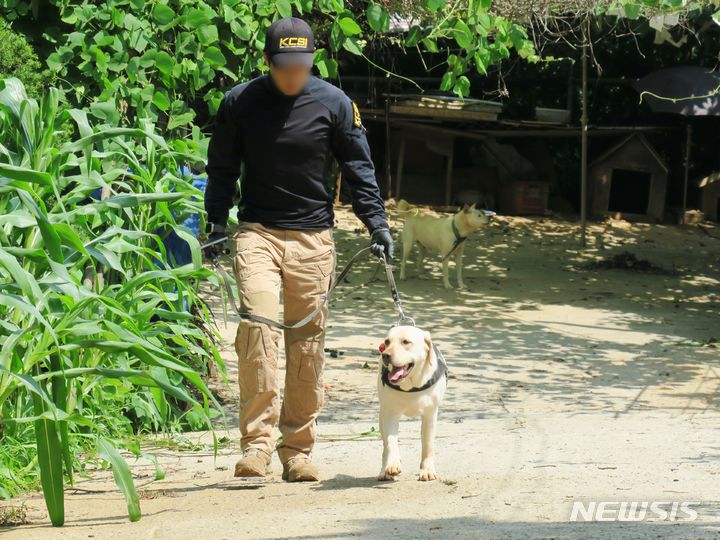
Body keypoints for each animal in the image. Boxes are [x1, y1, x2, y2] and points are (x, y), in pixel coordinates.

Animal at [376, 324, 444, 480]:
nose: (385, 355)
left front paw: (427, 470)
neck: (411, 386)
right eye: (387, 342)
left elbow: (428, 445)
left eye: (406, 342)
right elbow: (391, 441)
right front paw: (392, 464)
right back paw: (383, 470)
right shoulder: (390, 414)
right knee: (385, 447)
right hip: (382, 416)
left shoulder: (430, 415)